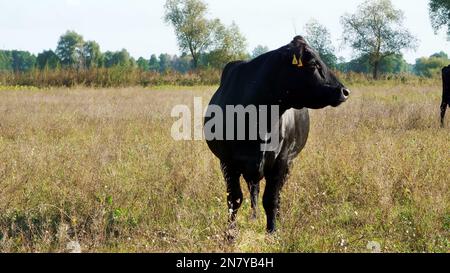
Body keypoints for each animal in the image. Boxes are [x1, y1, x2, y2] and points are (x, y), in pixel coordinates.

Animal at [206, 35, 350, 232]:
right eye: (313, 63)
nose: (344, 91)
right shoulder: (227, 162)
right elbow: (234, 199)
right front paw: (230, 232)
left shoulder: (281, 161)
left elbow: (271, 199)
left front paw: (272, 231)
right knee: (253, 190)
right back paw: (254, 216)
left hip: (288, 163)